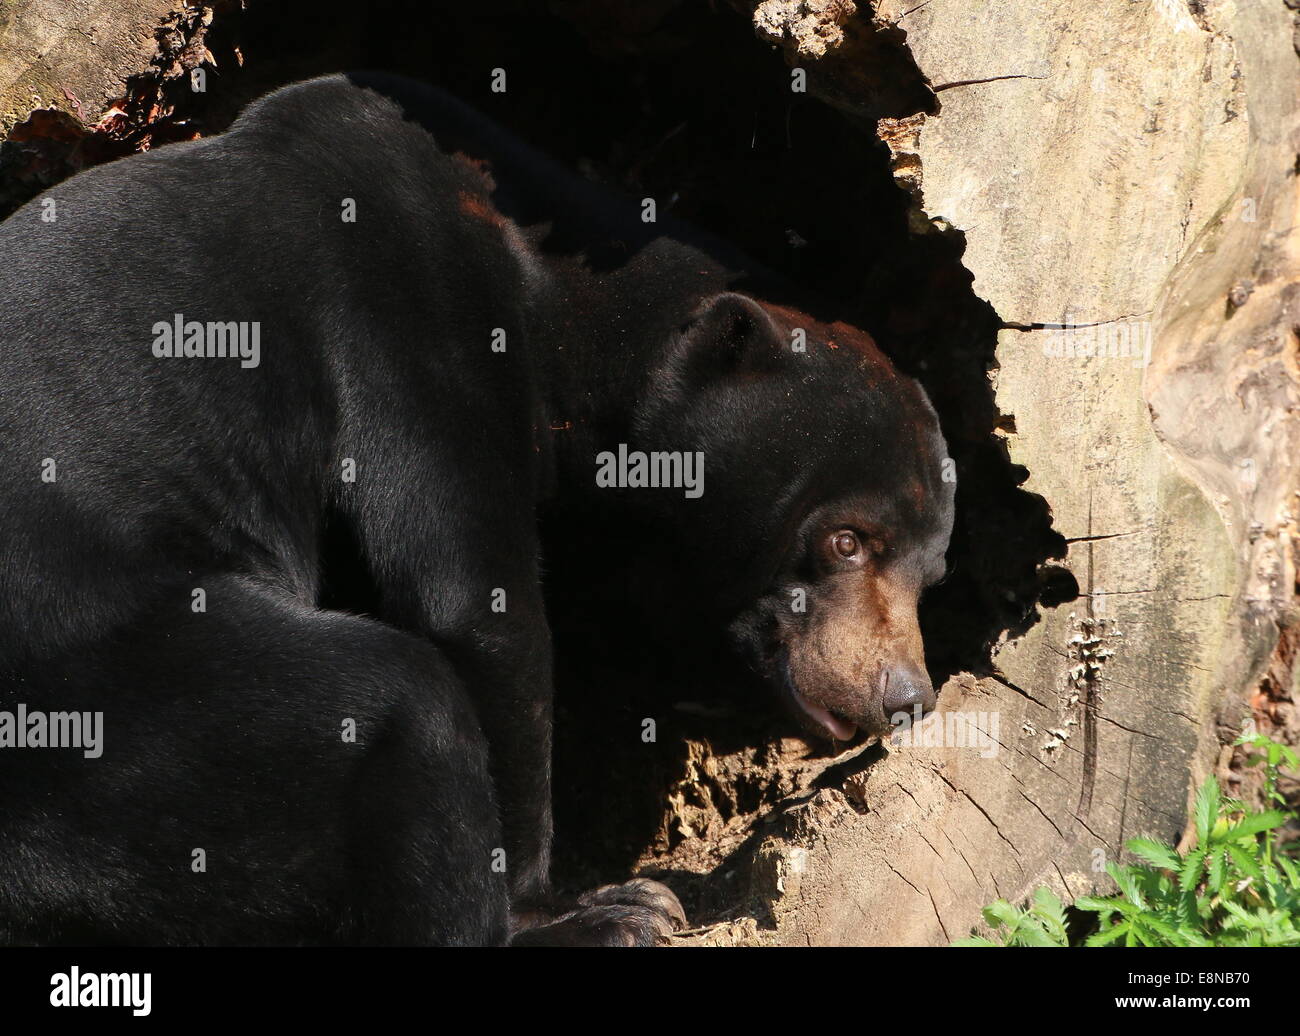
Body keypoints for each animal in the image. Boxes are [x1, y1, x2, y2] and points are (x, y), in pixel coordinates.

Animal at [0, 71, 954, 945]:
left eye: (931, 572)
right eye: (845, 541)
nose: (905, 695)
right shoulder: (407, 317)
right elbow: (474, 599)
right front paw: (574, 905)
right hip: (115, 717)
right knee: (396, 701)